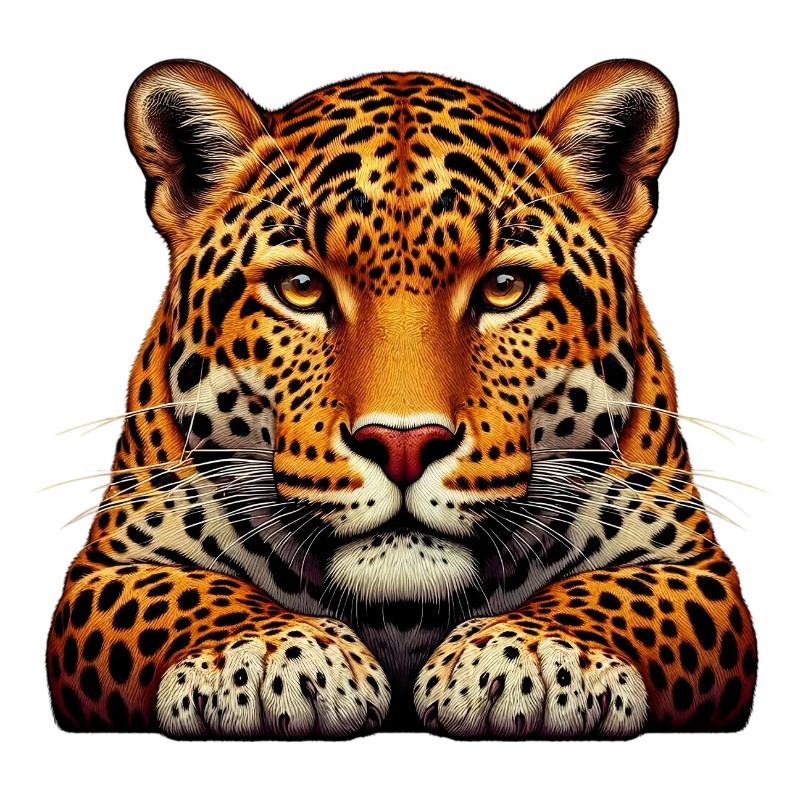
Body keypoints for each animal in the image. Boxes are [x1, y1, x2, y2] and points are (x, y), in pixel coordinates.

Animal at [46, 58, 757, 738]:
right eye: (301, 287)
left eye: (505, 287)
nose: (404, 445)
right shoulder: (110, 565)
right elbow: (184, 593)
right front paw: (265, 655)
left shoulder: (693, 565)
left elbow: (619, 593)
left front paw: (536, 655)